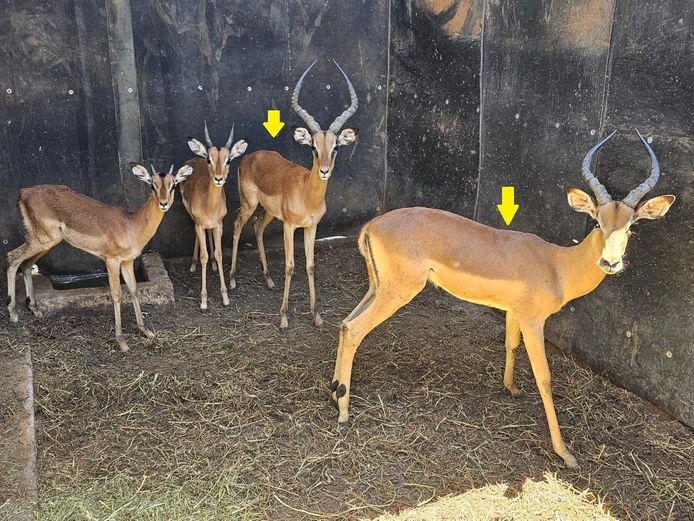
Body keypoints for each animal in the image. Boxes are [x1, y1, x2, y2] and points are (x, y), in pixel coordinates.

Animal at [6, 163, 193, 353]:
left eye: (173, 185)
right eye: (152, 185)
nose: (163, 203)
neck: (131, 226)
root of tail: (24, 192)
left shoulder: (127, 261)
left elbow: (134, 290)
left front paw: (146, 332)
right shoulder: (111, 261)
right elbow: (117, 294)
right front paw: (122, 341)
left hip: (46, 242)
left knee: (26, 265)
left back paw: (34, 309)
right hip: (41, 240)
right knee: (12, 257)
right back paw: (13, 313)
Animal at [183, 122, 248, 309]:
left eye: (228, 160)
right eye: (209, 159)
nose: (218, 178)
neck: (209, 206)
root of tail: (194, 158)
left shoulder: (219, 224)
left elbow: (219, 254)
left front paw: (225, 297)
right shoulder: (199, 224)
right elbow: (203, 255)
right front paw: (204, 301)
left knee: (209, 234)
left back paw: (212, 264)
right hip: (191, 216)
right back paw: (193, 264)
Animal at [230, 60, 359, 329]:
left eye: (336, 147)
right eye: (313, 147)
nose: (324, 171)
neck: (307, 195)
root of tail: (250, 156)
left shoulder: (311, 227)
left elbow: (309, 265)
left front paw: (316, 315)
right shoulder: (289, 227)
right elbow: (290, 266)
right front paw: (283, 317)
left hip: (268, 212)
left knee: (257, 227)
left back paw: (268, 279)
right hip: (249, 204)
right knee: (237, 226)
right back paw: (233, 279)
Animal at [330, 130, 675, 468]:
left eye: (631, 226)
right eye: (597, 221)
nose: (610, 262)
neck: (556, 265)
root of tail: (371, 226)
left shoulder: (513, 312)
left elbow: (510, 345)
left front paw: (511, 388)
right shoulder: (534, 321)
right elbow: (544, 377)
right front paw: (565, 453)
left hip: (377, 288)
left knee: (345, 324)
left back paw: (334, 393)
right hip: (398, 291)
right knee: (356, 329)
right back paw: (344, 412)